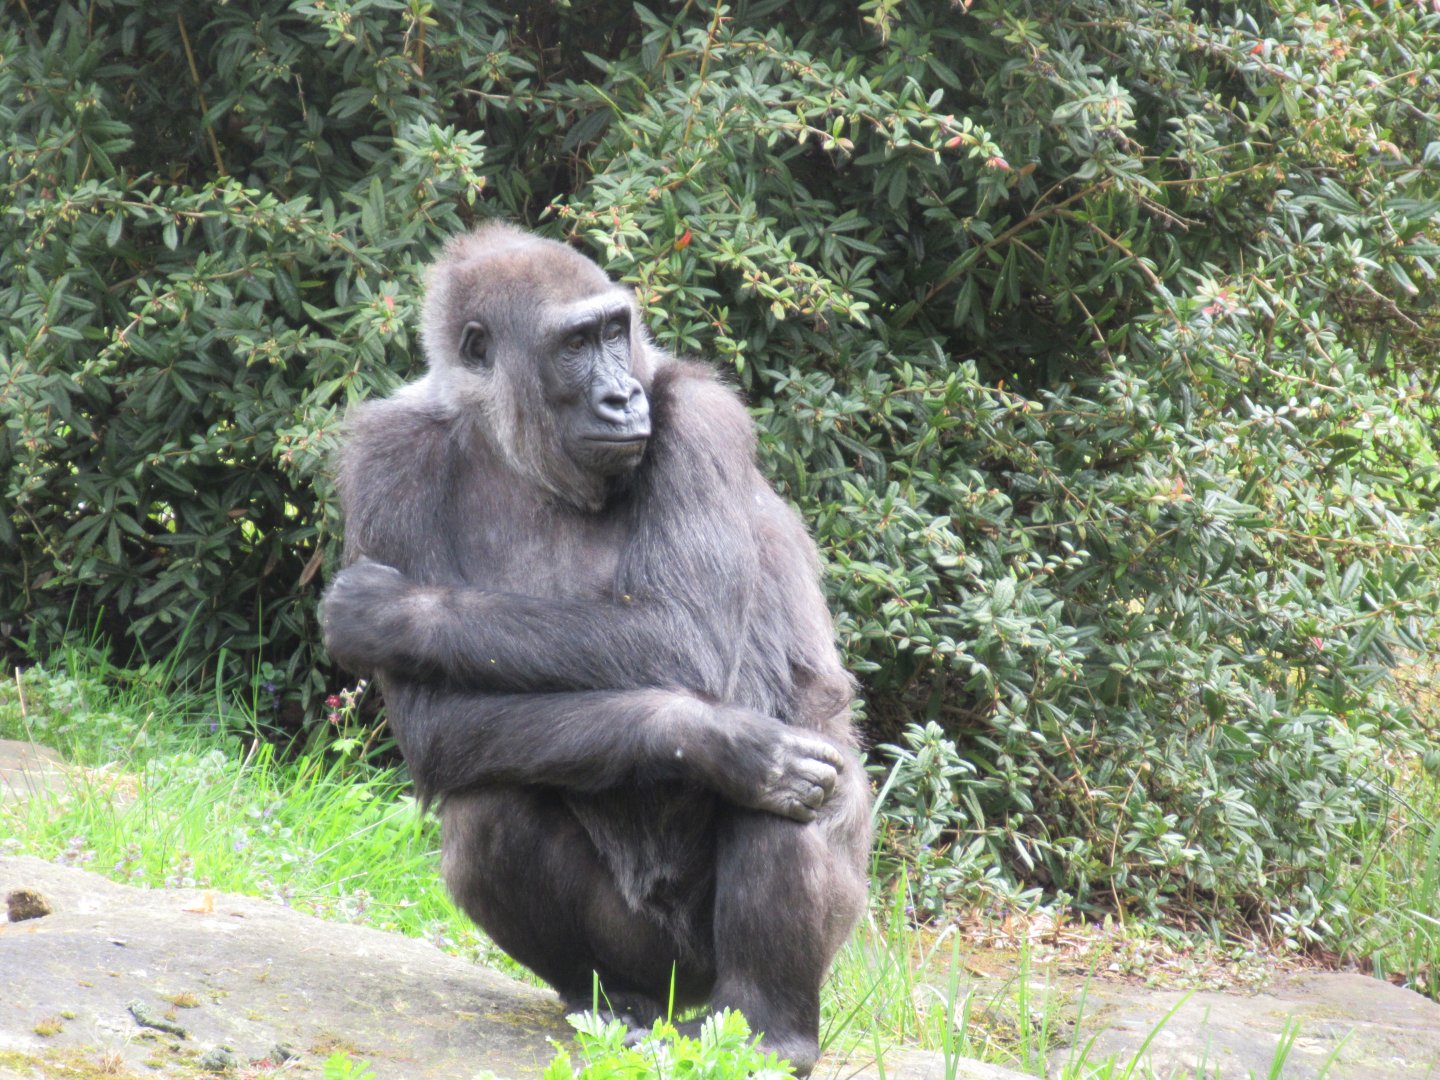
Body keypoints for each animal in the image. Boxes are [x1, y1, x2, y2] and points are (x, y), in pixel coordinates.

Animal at [319, 223, 870, 1074]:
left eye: (616, 332)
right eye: (576, 345)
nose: (622, 397)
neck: (512, 442)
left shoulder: (702, 416)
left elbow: (681, 635)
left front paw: (400, 615)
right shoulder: (386, 455)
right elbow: (438, 723)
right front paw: (706, 738)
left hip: (730, 969)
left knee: (797, 775)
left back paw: (768, 1027)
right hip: (653, 965)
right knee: (491, 804)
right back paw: (611, 1002)